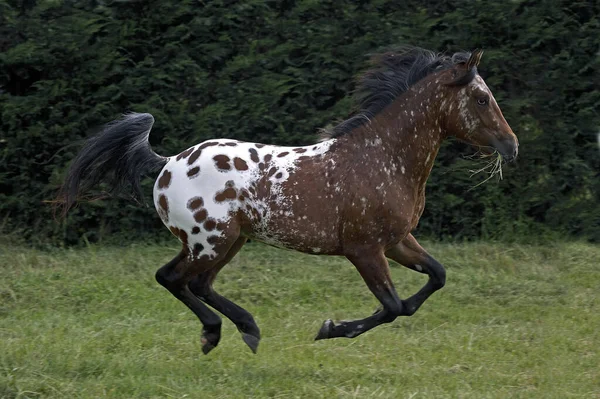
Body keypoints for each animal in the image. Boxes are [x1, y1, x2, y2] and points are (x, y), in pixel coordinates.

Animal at [57, 47, 520, 356]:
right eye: (481, 98)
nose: (511, 145)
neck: (382, 158)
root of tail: (167, 162)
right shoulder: (365, 249)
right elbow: (392, 306)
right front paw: (330, 329)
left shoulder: (397, 241)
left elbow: (434, 279)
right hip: (210, 242)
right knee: (173, 278)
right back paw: (222, 332)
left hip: (229, 241)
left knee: (195, 283)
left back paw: (240, 330)